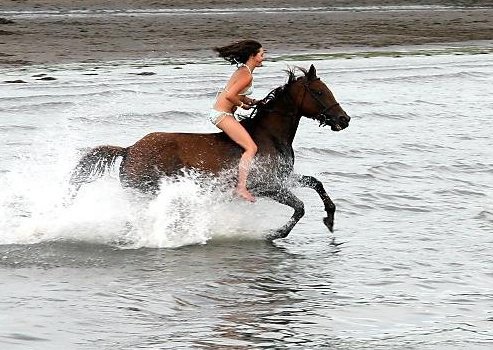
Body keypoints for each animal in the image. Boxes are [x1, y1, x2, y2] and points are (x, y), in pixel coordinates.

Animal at [69, 65, 350, 241]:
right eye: (319, 92)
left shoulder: (282, 179)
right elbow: (300, 207)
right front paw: (273, 234)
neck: (270, 135)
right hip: (145, 193)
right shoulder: (266, 186)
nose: (344, 119)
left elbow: (316, 183)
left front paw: (330, 219)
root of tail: (128, 150)